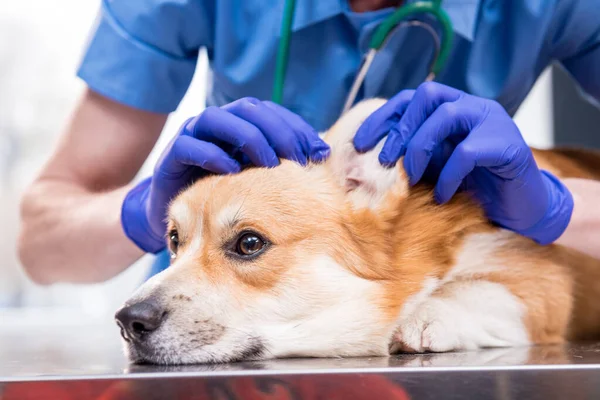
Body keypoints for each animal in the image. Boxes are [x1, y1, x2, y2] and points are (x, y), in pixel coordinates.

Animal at [115, 98, 600, 364]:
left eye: (249, 243)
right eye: (174, 240)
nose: (127, 321)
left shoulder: (544, 284)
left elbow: (485, 288)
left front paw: (425, 314)